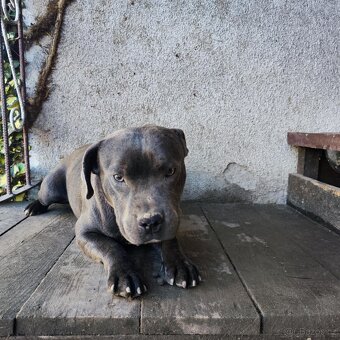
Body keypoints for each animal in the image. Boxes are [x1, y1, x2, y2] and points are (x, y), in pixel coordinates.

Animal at [25, 125, 201, 298]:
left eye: (171, 171)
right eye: (118, 177)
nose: (151, 221)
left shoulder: (171, 220)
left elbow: (170, 240)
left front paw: (180, 264)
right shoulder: (85, 233)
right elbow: (111, 246)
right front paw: (125, 275)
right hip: (50, 189)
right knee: (43, 197)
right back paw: (33, 207)